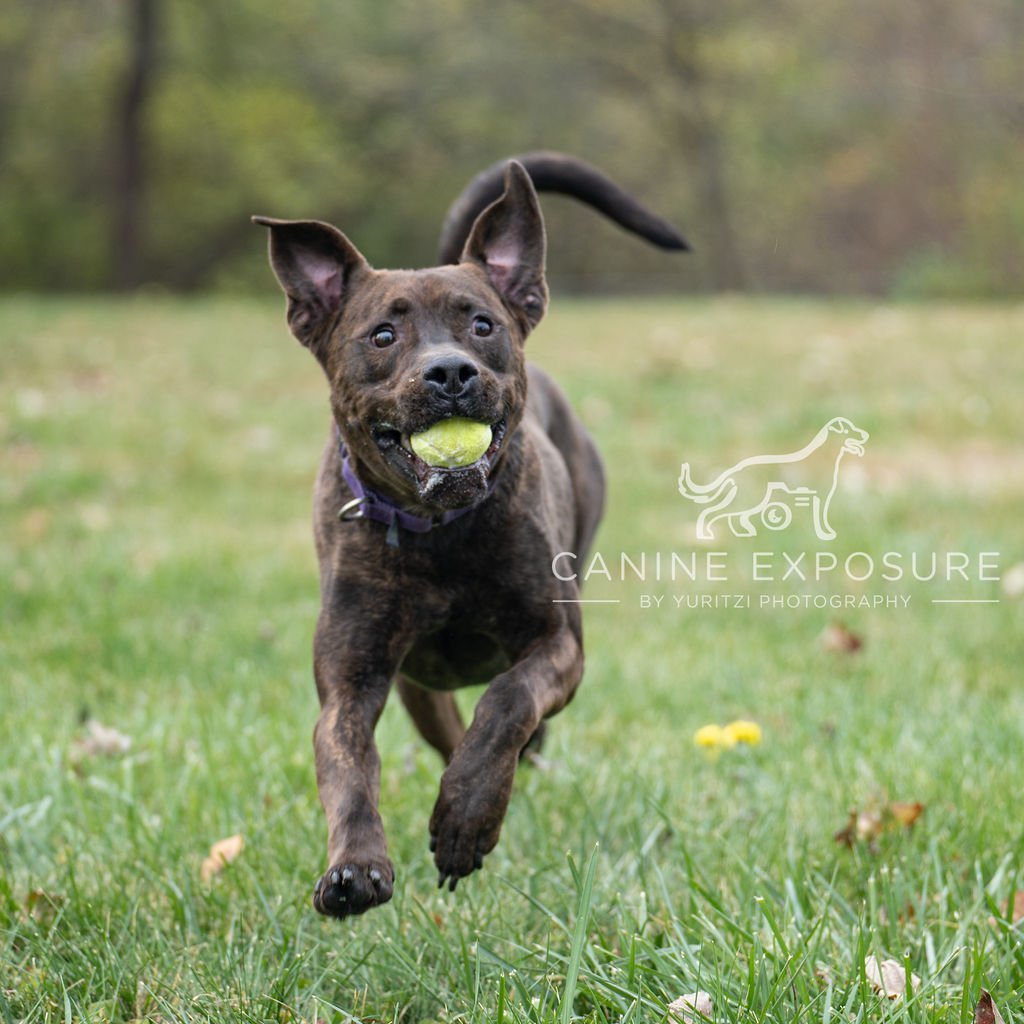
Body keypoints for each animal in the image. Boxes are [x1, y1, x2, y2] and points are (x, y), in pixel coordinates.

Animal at [254, 153, 688, 921]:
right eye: (382, 336)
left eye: (482, 325)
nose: (451, 370)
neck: (440, 534)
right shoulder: (352, 680)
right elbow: (347, 764)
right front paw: (355, 867)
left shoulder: (558, 646)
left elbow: (507, 703)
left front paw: (465, 816)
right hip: (417, 689)